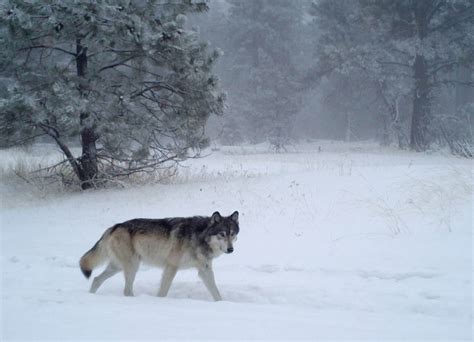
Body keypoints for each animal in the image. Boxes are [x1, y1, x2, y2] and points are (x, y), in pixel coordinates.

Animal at [80, 210, 241, 300]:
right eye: (222, 234)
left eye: (232, 234)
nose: (230, 249)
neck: (199, 236)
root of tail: (114, 227)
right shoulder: (171, 267)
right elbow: (163, 291)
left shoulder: (205, 270)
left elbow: (216, 293)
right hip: (132, 267)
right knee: (126, 290)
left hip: (118, 267)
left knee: (96, 279)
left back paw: (91, 295)